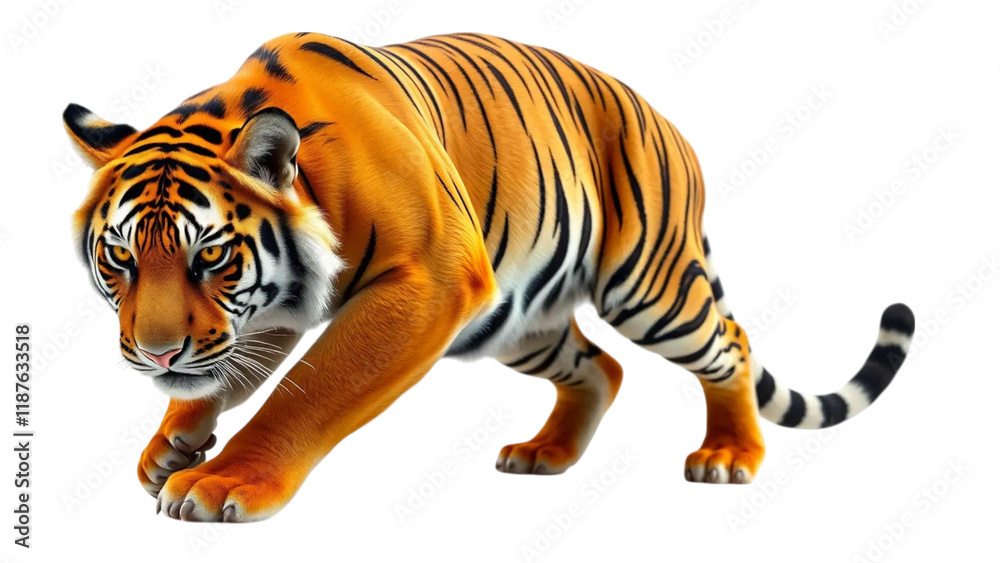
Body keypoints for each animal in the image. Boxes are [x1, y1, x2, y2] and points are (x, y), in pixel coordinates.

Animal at [64, 32, 916, 522]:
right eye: (120, 258)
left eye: (210, 255)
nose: (155, 354)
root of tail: (666, 124)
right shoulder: (274, 308)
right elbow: (234, 366)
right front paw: (172, 444)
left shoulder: (425, 284)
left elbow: (308, 390)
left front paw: (218, 483)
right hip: (516, 322)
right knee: (600, 365)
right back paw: (546, 453)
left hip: (648, 284)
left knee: (728, 342)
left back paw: (730, 456)